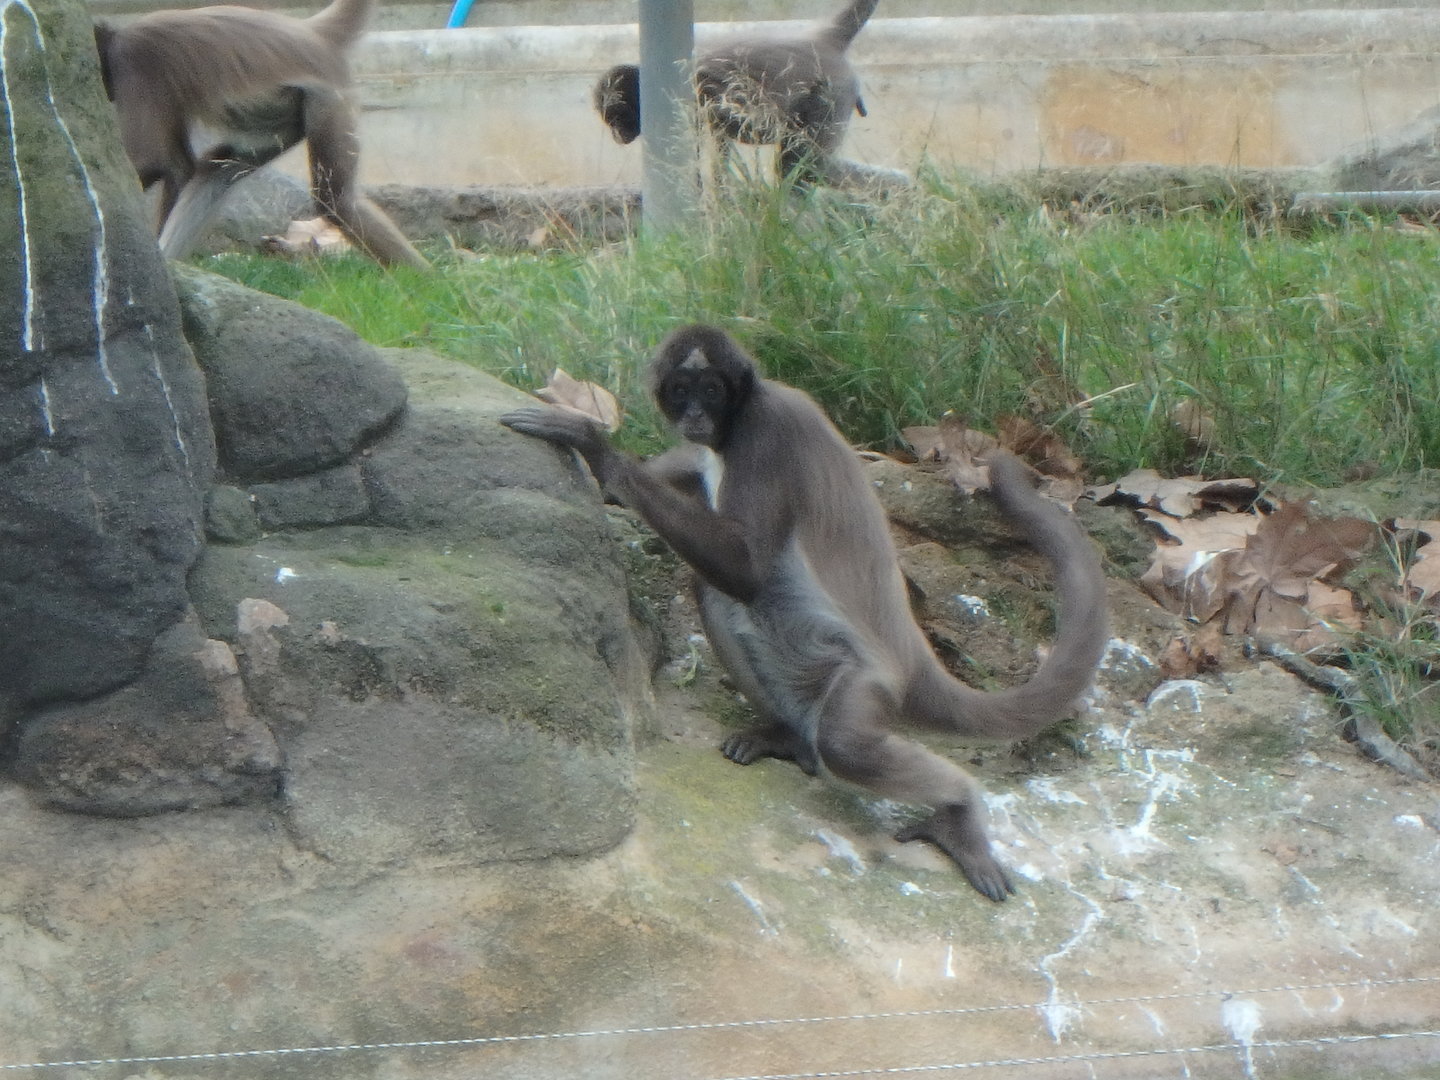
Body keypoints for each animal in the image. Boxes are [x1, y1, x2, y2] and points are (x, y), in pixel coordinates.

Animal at [93, 0, 429, 269]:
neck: (116, 37)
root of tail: (313, 32)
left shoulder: (130, 59)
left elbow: (153, 163)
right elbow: (178, 167)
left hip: (328, 99)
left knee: (336, 201)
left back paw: (424, 278)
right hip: (286, 119)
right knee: (216, 169)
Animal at [500, 326, 1109, 902]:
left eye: (712, 390)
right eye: (680, 390)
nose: (695, 415)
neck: (741, 415)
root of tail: (913, 656)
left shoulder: (766, 430)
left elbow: (745, 569)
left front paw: (597, 448)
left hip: (867, 682)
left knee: (842, 742)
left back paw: (959, 811)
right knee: (716, 597)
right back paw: (790, 739)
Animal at [593, 0, 907, 190]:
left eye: (616, 118)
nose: (616, 135)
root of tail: (822, 41)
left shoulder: (703, 94)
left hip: (832, 93)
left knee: (805, 168)